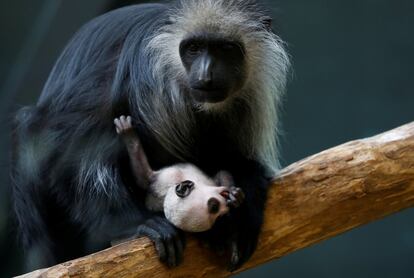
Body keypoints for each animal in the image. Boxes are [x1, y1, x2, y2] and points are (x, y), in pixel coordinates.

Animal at [113, 115, 244, 232]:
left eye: (214, 206)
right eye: (216, 210)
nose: (226, 208)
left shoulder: (169, 176)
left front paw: (235, 196)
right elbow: (142, 178)